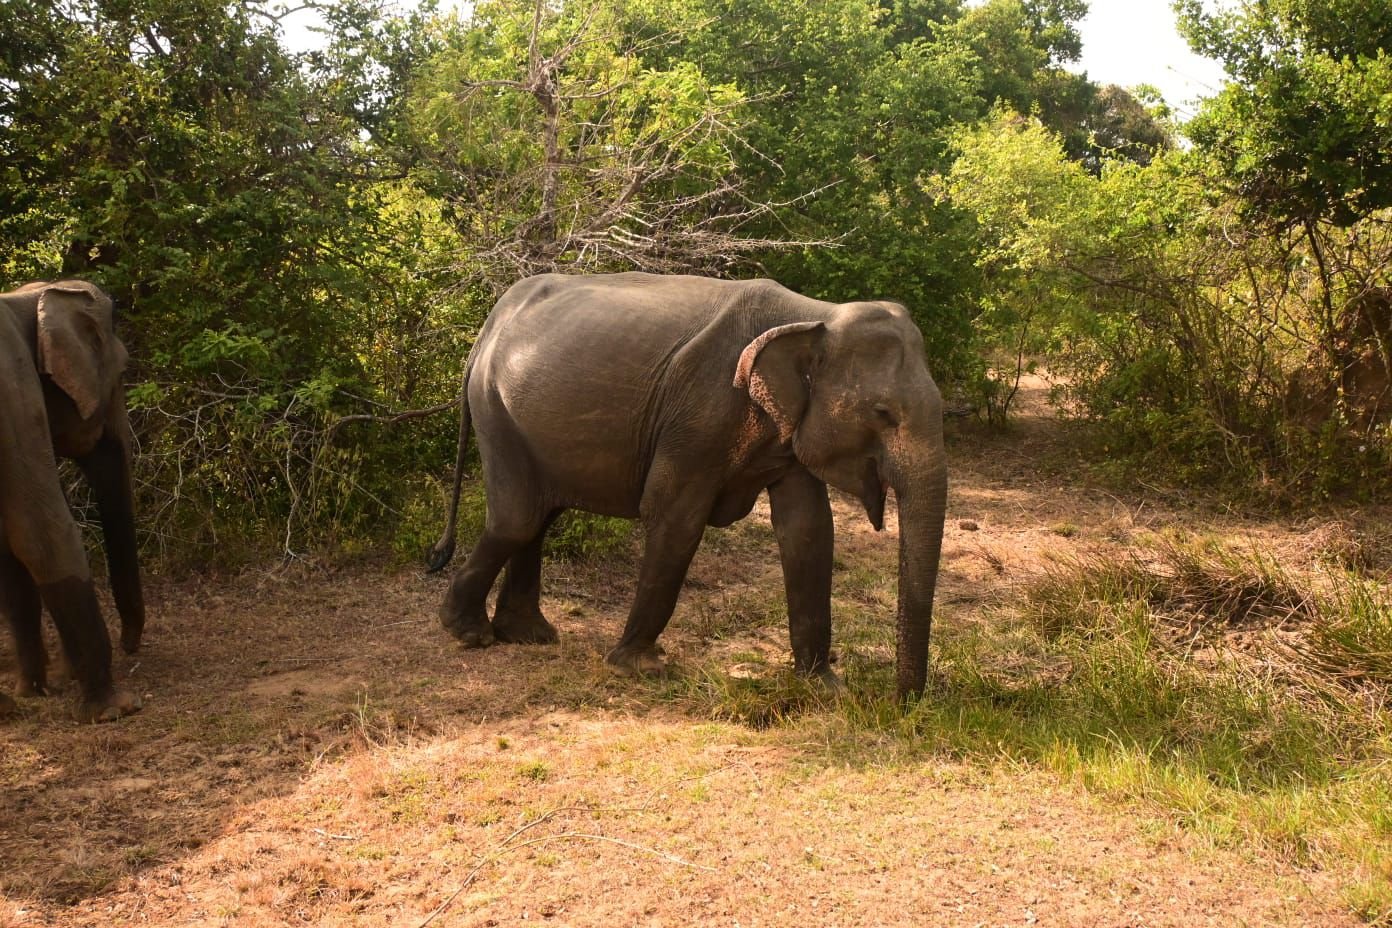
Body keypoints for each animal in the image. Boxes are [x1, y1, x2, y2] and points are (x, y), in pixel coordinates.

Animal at [0, 279, 143, 721]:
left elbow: (8, 545)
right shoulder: (11, 392)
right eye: (122, 373)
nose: (131, 646)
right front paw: (114, 709)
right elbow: (39, 532)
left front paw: (35, 691)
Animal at [429, 272, 947, 700]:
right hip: (495, 410)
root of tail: (488, 326)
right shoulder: (698, 417)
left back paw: (530, 636)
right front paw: (638, 668)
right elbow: (675, 516)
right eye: (882, 413)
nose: (900, 703)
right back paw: (470, 634)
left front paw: (824, 688)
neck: (815, 313)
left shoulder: (790, 424)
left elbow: (809, 529)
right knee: (517, 519)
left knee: (538, 517)